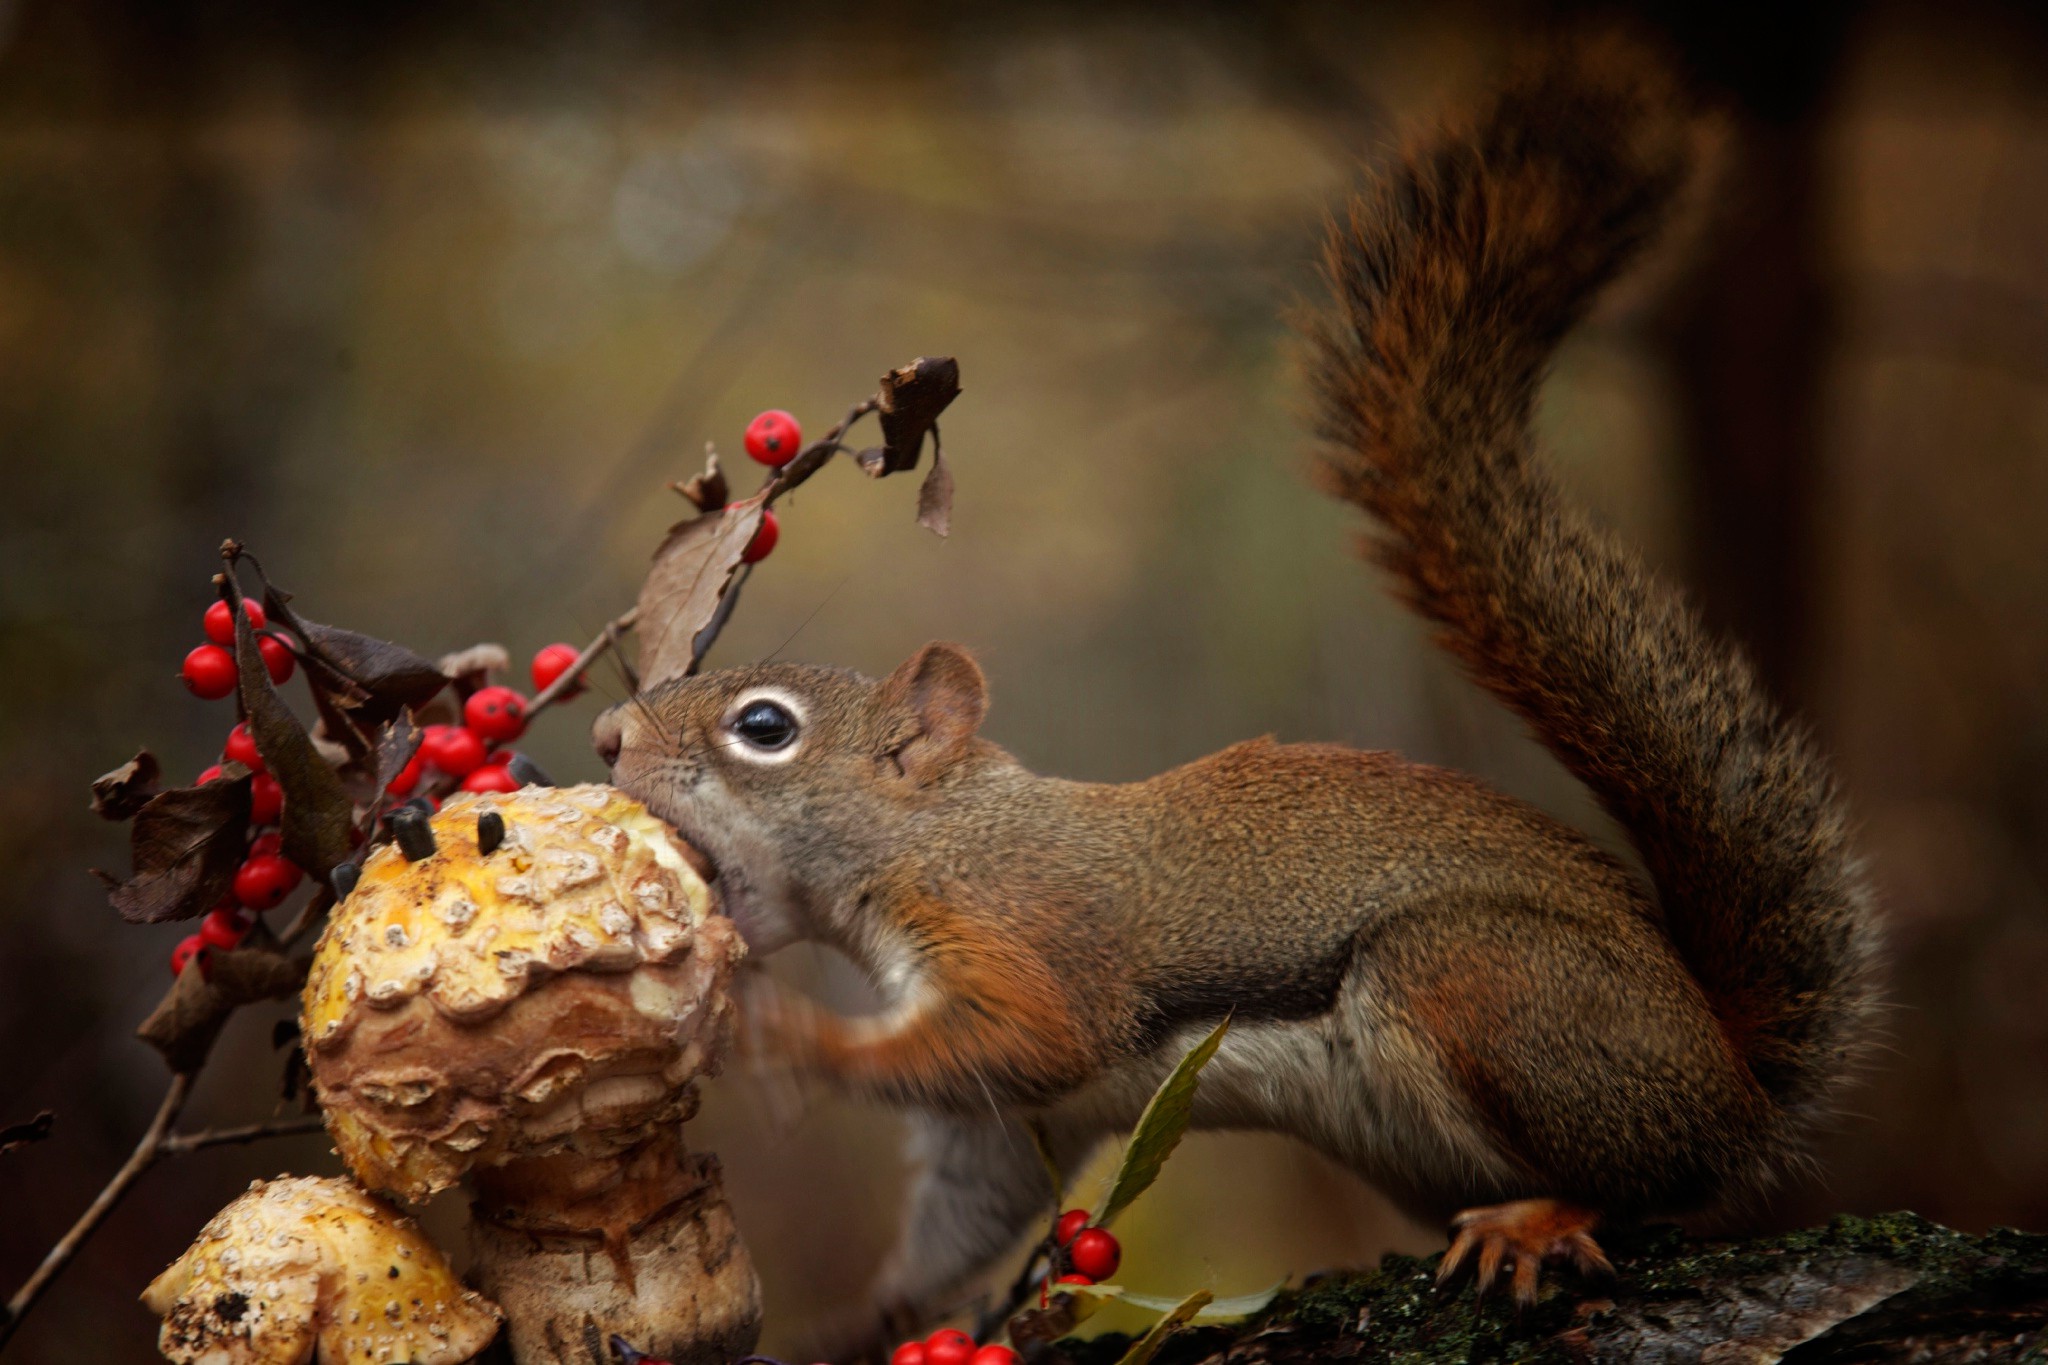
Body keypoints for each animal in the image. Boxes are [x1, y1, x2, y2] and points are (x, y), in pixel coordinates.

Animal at [595, 34, 1880, 1339]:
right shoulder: (1002, 1129)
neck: (942, 836)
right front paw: (876, 1322)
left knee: (1647, 1182)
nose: (604, 736)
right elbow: (966, 1204)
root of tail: (1727, 1080)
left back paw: (1540, 1219)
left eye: (764, 728)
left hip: (1480, 984)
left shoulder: (1024, 945)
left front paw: (790, 1039)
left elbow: (1013, 1040)